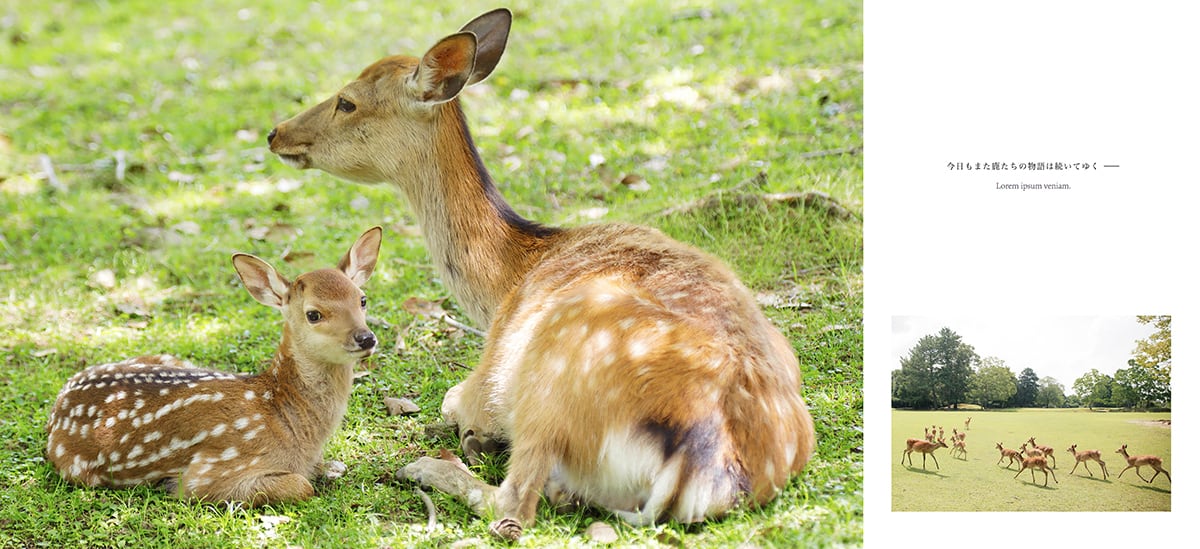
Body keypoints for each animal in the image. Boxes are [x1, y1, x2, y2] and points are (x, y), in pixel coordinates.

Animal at [45, 227, 382, 506]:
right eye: (314, 314)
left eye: (362, 299)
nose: (365, 337)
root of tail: (59, 403)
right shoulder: (211, 472)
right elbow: (302, 486)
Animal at [266, 8, 815, 541]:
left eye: (347, 102)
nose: (275, 132)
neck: (508, 277)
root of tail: (708, 469)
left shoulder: (485, 378)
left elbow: (451, 399)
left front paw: (469, 436)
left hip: (546, 386)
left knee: (514, 505)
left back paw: (430, 466)